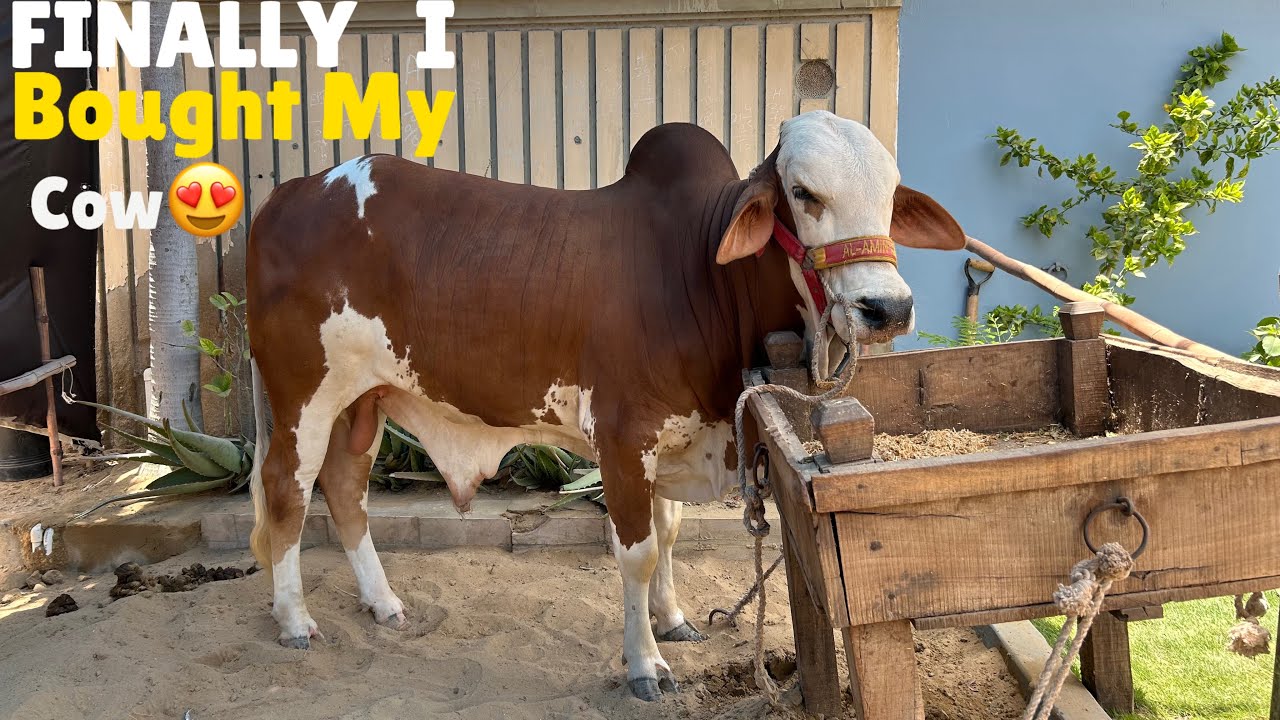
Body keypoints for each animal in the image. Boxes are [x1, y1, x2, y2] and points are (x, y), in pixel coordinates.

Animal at [244, 110, 965, 701]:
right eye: (804, 193)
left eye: (890, 195)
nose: (887, 308)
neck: (698, 270)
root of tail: (289, 194)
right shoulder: (624, 437)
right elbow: (637, 552)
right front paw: (645, 665)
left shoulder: (675, 437)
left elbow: (669, 533)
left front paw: (673, 621)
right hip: (304, 396)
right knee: (287, 490)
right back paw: (294, 619)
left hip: (362, 401)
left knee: (345, 489)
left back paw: (383, 602)